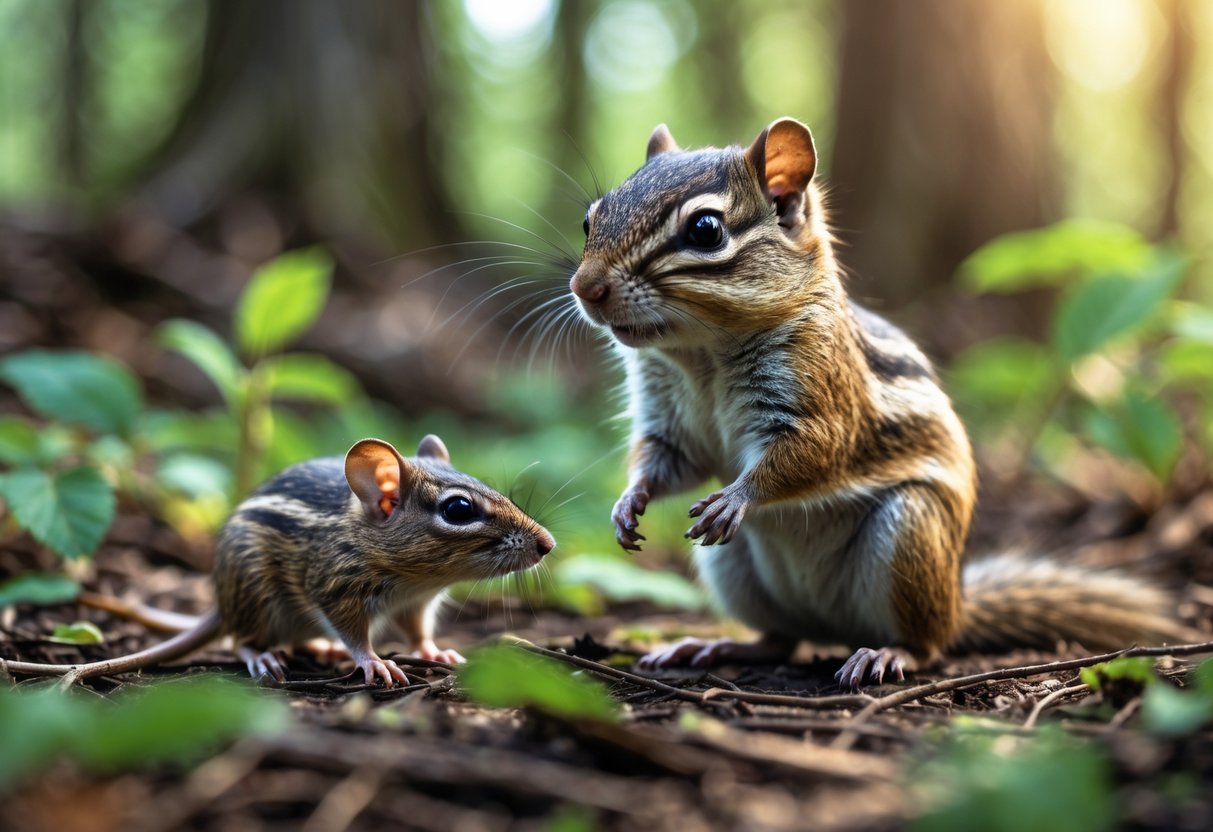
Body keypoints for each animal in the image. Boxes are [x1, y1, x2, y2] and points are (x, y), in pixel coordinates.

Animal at [2, 435, 555, 687]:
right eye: (459, 509)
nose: (547, 544)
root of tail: (220, 606)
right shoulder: (334, 588)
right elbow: (354, 634)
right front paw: (374, 661)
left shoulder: (416, 604)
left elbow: (418, 631)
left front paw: (437, 653)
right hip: (256, 594)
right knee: (241, 639)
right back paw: (264, 657)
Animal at [570, 117, 1186, 689]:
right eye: (589, 219)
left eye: (705, 229)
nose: (585, 288)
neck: (702, 353)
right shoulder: (668, 418)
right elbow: (669, 461)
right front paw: (628, 504)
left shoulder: (823, 395)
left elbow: (811, 453)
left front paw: (737, 497)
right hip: (732, 567)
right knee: (779, 640)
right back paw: (712, 645)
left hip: (911, 533)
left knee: (926, 645)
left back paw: (887, 654)